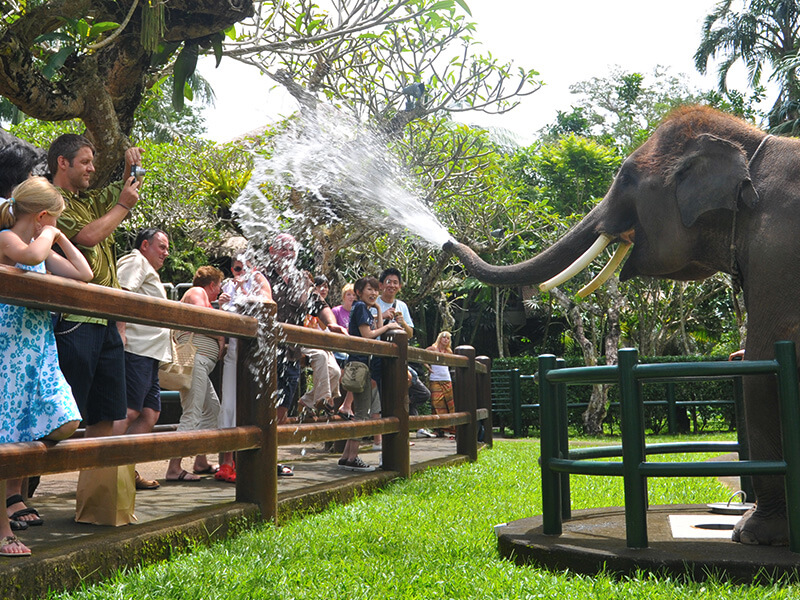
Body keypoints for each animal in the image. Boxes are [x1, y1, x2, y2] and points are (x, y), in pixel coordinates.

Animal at [444, 105, 800, 548]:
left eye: (627, 177)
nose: (447, 242)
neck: (752, 145)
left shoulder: (775, 253)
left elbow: (761, 363)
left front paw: (750, 535)